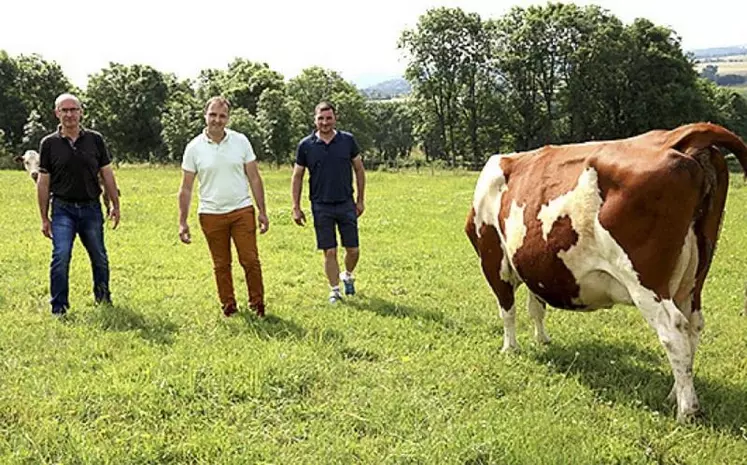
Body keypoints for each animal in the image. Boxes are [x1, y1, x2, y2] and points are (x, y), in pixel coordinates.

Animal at [468, 122, 747, 420]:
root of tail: (675, 137)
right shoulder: (531, 266)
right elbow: (536, 307)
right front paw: (541, 340)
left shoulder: (493, 259)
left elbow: (507, 310)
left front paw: (510, 349)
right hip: (694, 276)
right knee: (692, 327)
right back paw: (676, 392)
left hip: (645, 281)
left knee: (674, 330)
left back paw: (687, 410)